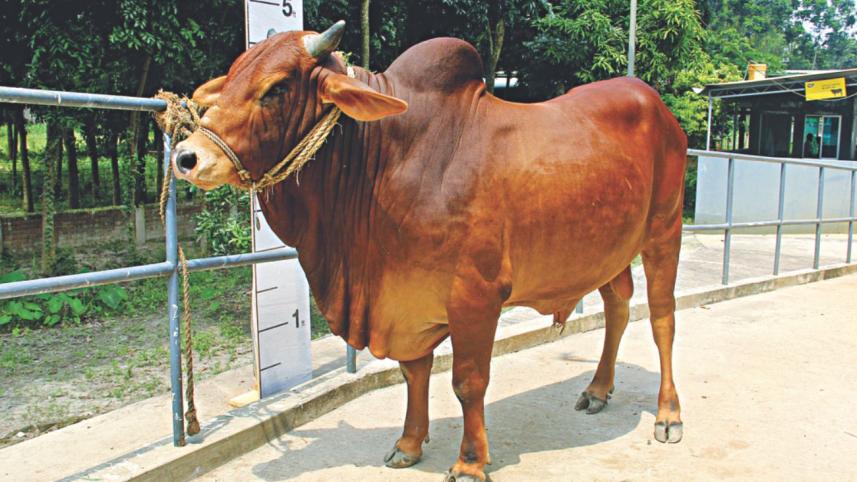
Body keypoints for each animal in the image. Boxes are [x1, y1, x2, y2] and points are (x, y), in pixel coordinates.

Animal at [173, 21, 688, 481]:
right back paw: (598, 389)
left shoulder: (476, 298)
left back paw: (668, 415)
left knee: (662, 317)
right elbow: (414, 372)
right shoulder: (406, 296)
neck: (386, 160)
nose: (187, 156)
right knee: (618, 306)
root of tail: (655, 104)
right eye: (232, 76)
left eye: (276, 88)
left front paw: (470, 462)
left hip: (665, 231)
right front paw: (408, 443)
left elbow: (467, 381)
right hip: (609, 250)